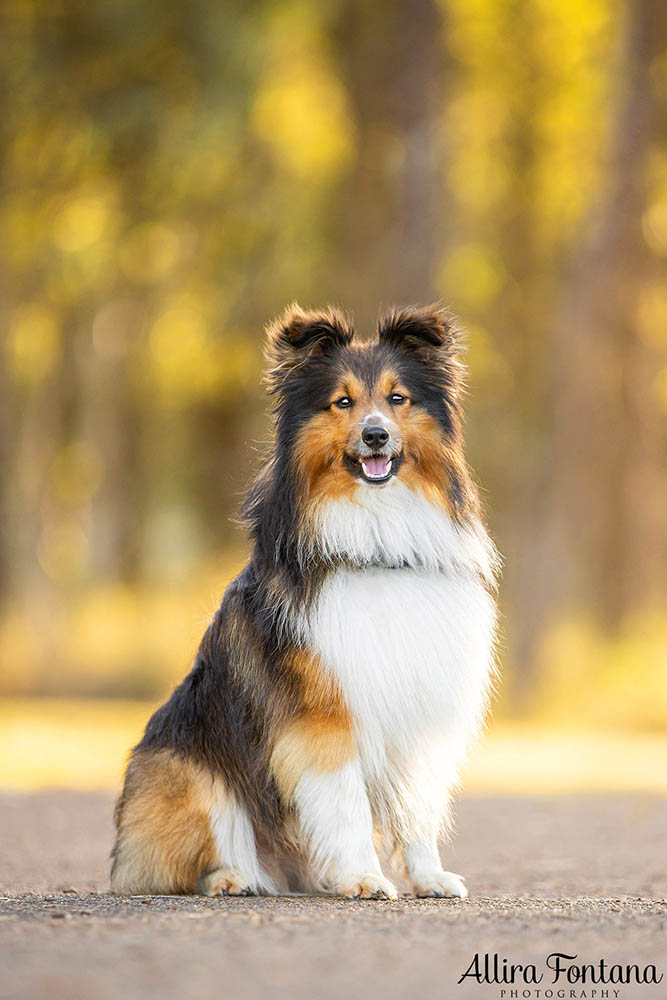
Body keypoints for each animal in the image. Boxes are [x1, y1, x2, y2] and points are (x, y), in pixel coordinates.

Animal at [111, 302, 496, 900]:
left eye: (398, 398)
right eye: (343, 402)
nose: (376, 436)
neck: (375, 545)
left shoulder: (418, 707)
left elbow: (417, 808)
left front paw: (428, 877)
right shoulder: (323, 717)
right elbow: (348, 807)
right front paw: (364, 877)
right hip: (186, 771)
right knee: (188, 860)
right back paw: (233, 877)